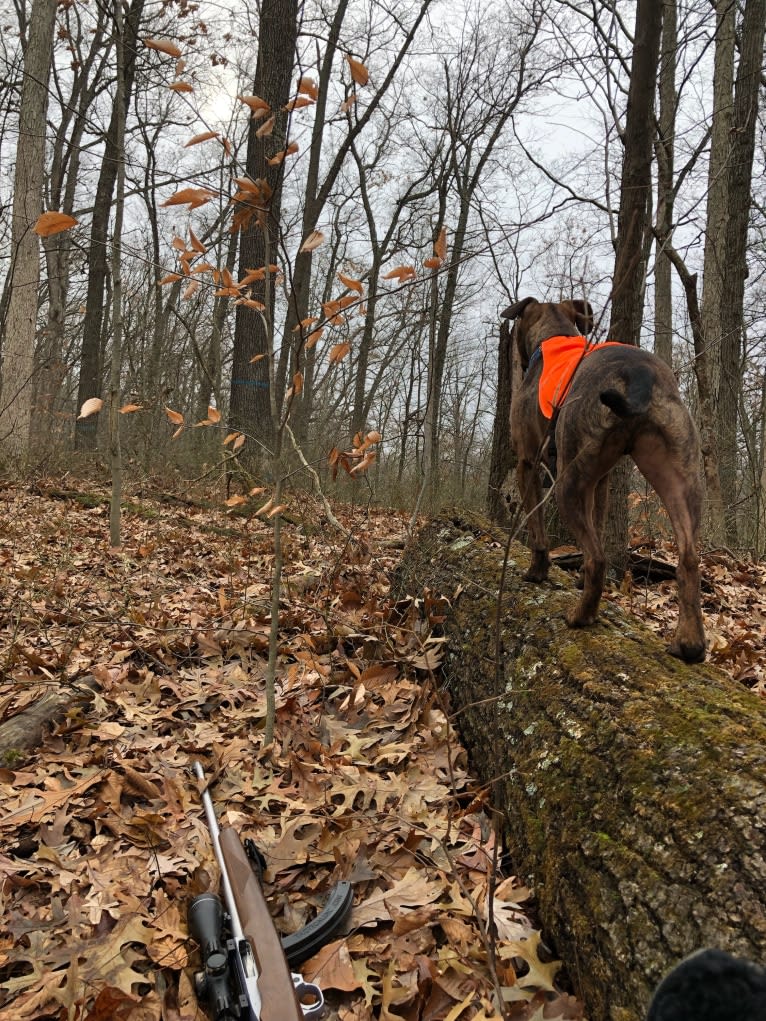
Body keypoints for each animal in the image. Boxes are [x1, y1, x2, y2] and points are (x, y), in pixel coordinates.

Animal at [504, 296, 706, 661]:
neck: (553, 334)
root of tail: (639, 374)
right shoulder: (601, 481)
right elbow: (597, 523)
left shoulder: (527, 464)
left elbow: (538, 533)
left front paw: (536, 573)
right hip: (680, 478)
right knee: (688, 559)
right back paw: (689, 644)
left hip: (567, 485)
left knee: (597, 559)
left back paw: (581, 616)